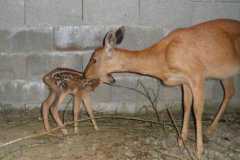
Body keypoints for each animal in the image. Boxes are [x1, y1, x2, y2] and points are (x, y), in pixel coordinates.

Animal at [84, 19, 240, 159]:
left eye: (94, 59)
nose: (85, 74)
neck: (164, 57)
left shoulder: (197, 75)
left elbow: (197, 110)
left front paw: (199, 150)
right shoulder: (185, 82)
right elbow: (186, 106)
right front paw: (181, 141)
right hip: (226, 74)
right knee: (230, 92)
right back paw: (211, 130)